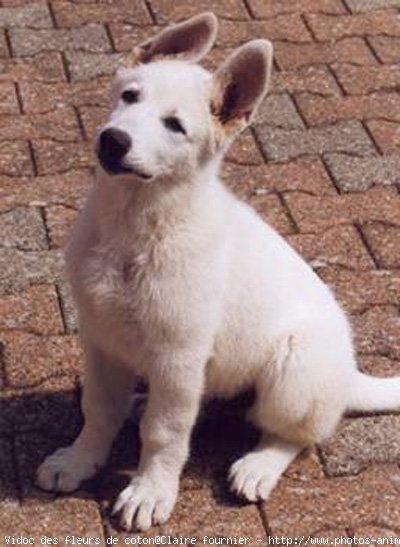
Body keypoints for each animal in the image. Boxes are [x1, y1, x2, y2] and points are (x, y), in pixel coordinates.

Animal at [36, 12, 400, 532]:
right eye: (130, 96)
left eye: (175, 126)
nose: (113, 140)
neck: (137, 224)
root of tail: (349, 376)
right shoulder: (101, 337)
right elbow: (99, 408)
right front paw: (79, 459)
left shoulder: (178, 353)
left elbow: (165, 433)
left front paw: (150, 490)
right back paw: (142, 403)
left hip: (291, 373)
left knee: (293, 434)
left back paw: (259, 464)